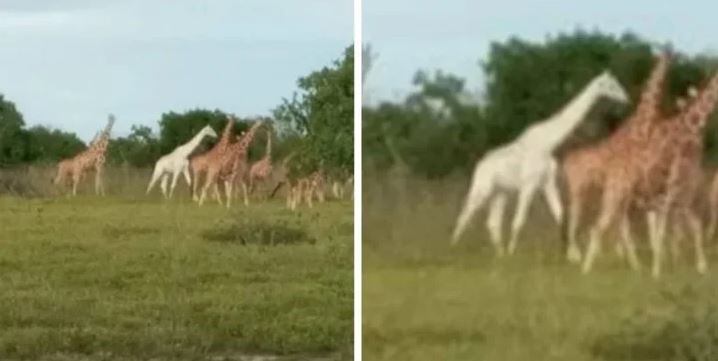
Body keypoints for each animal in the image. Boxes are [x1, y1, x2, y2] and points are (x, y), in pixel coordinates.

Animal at [456, 70, 632, 255]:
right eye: (611, 85)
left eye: (616, 82)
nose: (627, 99)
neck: (548, 143)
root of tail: (480, 165)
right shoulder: (529, 184)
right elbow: (519, 220)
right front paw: (512, 254)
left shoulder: (547, 183)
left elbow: (560, 215)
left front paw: (574, 255)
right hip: (482, 189)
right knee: (464, 215)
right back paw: (455, 248)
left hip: (500, 193)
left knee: (492, 223)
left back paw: (499, 254)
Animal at [564, 52, 676, 266]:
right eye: (612, 85)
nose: (626, 99)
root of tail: (567, 160)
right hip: (578, 188)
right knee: (575, 217)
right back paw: (576, 255)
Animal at [584, 70, 718, 276]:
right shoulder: (669, 198)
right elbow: (664, 233)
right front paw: (659, 270)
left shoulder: (668, 201)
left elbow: (674, 231)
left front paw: (685, 265)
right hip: (617, 197)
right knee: (601, 227)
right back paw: (589, 268)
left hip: (624, 201)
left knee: (617, 228)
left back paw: (631, 264)